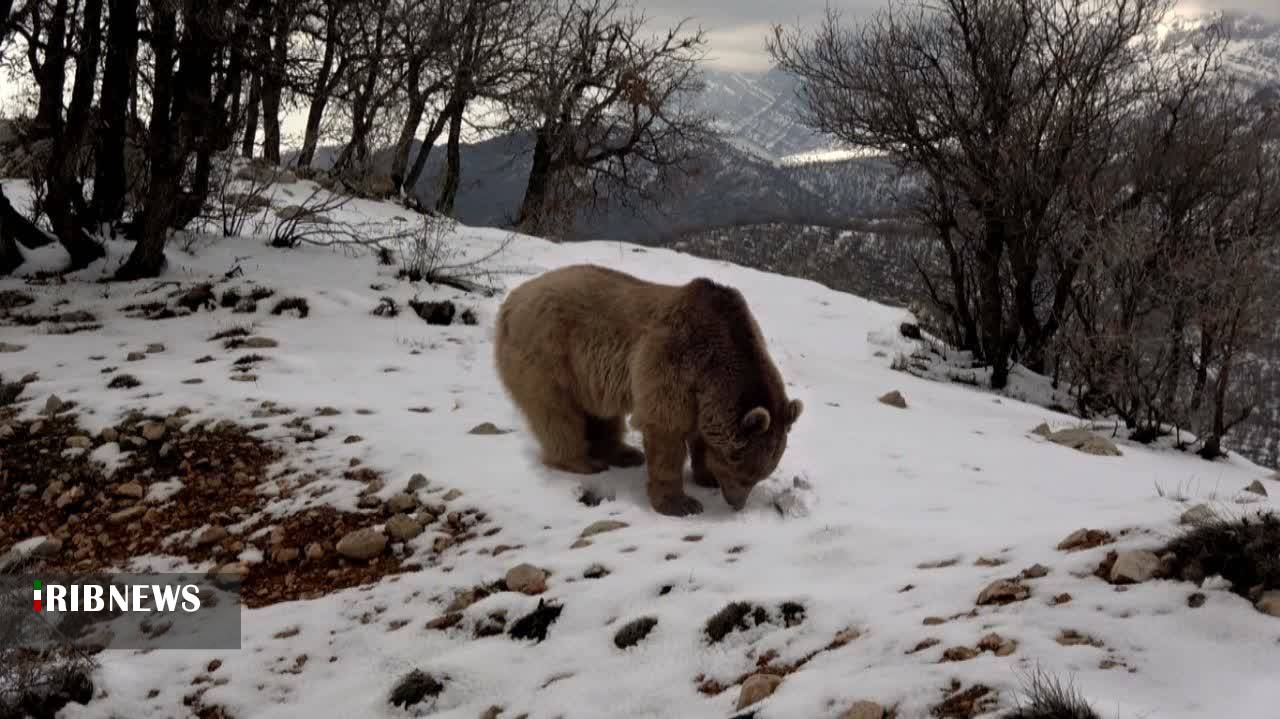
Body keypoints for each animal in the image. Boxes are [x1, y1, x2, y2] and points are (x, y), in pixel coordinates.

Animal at [491, 263, 798, 514]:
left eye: (760, 475)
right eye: (745, 474)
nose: (736, 503)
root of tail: (511, 300)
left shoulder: (702, 389)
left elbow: (700, 432)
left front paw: (706, 475)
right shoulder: (673, 361)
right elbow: (666, 431)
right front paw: (681, 503)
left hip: (587, 374)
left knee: (601, 413)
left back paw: (624, 453)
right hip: (549, 352)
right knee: (557, 413)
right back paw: (582, 462)